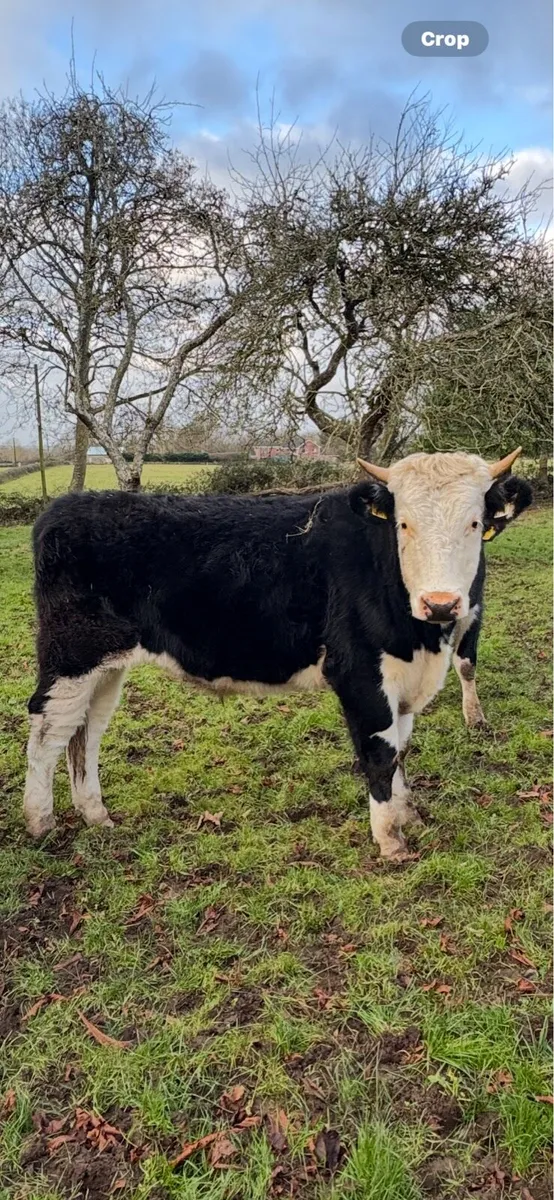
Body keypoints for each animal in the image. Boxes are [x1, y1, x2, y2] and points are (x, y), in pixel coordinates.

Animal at [23, 448, 531, 860]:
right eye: (404, 524)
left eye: (474, 524)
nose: (440, 603)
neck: (421, 638)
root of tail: (68, 506)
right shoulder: (359, 674)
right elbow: (380, 753)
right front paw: (390, 841)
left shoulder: (405, 679)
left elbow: (401, 748)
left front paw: (408, 817)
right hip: (71, 655)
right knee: (48, 730)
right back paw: (41, 822)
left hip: (106, 664)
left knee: (86, 731)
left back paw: (95, 815)